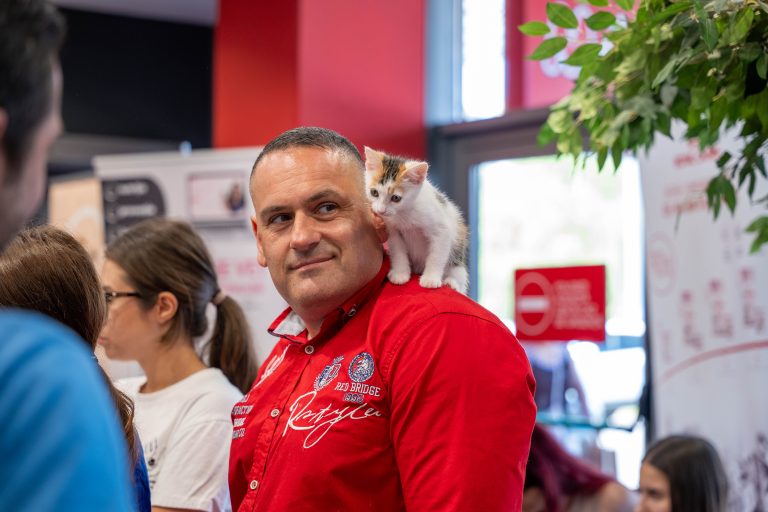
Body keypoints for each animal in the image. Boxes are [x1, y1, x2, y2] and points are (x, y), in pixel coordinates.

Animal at [363, 146, 469, 294]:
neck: (404, 213)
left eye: (396, 198)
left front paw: (430, 279)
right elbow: (398, 251)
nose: (381, 211)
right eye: (374, 193)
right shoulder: (392, 231)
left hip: (457, 249)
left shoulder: (442, 230)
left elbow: (437, 255)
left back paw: (452, 283)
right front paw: (400, 274)